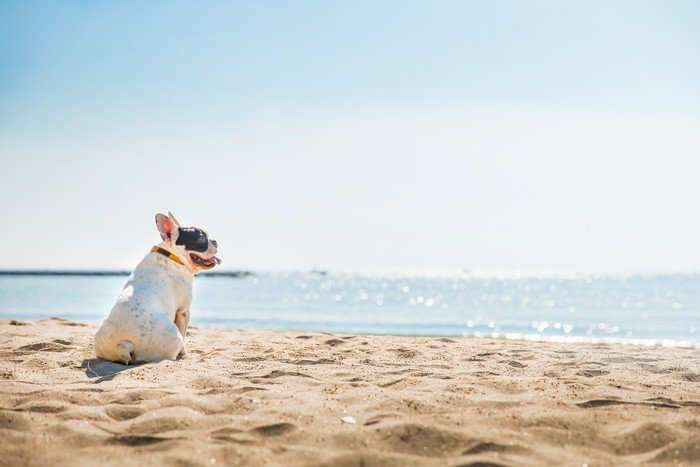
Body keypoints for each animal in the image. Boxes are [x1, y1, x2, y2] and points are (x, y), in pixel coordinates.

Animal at [93, 213, 219, 366]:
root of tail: (124, 344)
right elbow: (185, 335)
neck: (172, 255)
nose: (215, 241)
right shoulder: (183, 312)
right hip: (174, 337)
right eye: (201, 239)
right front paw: (184, 354)